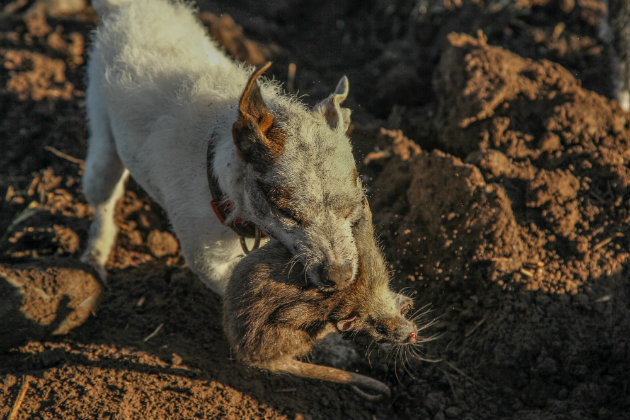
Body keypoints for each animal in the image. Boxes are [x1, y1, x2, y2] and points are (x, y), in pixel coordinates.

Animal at [82, 0, 368, 296]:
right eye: (287, 214)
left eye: (354, 206)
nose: (339, 277)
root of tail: (127, 8)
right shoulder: (207, 262)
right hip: (102, 141)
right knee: (102, 200)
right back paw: (96, 253)